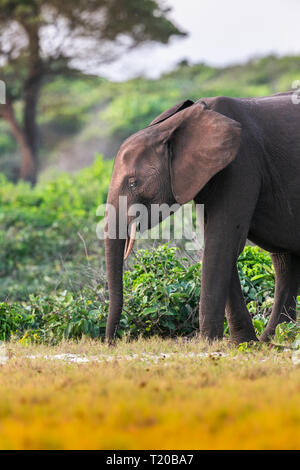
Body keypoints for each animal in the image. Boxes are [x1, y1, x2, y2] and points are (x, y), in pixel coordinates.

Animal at [103, 92, 300, 344]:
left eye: (132, 182)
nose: (111, 342)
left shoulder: (241, 165)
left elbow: (222, 242)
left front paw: (211, 343)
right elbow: (218, 243)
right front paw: (241, 343)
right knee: (284, 261)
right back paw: (273, 339)